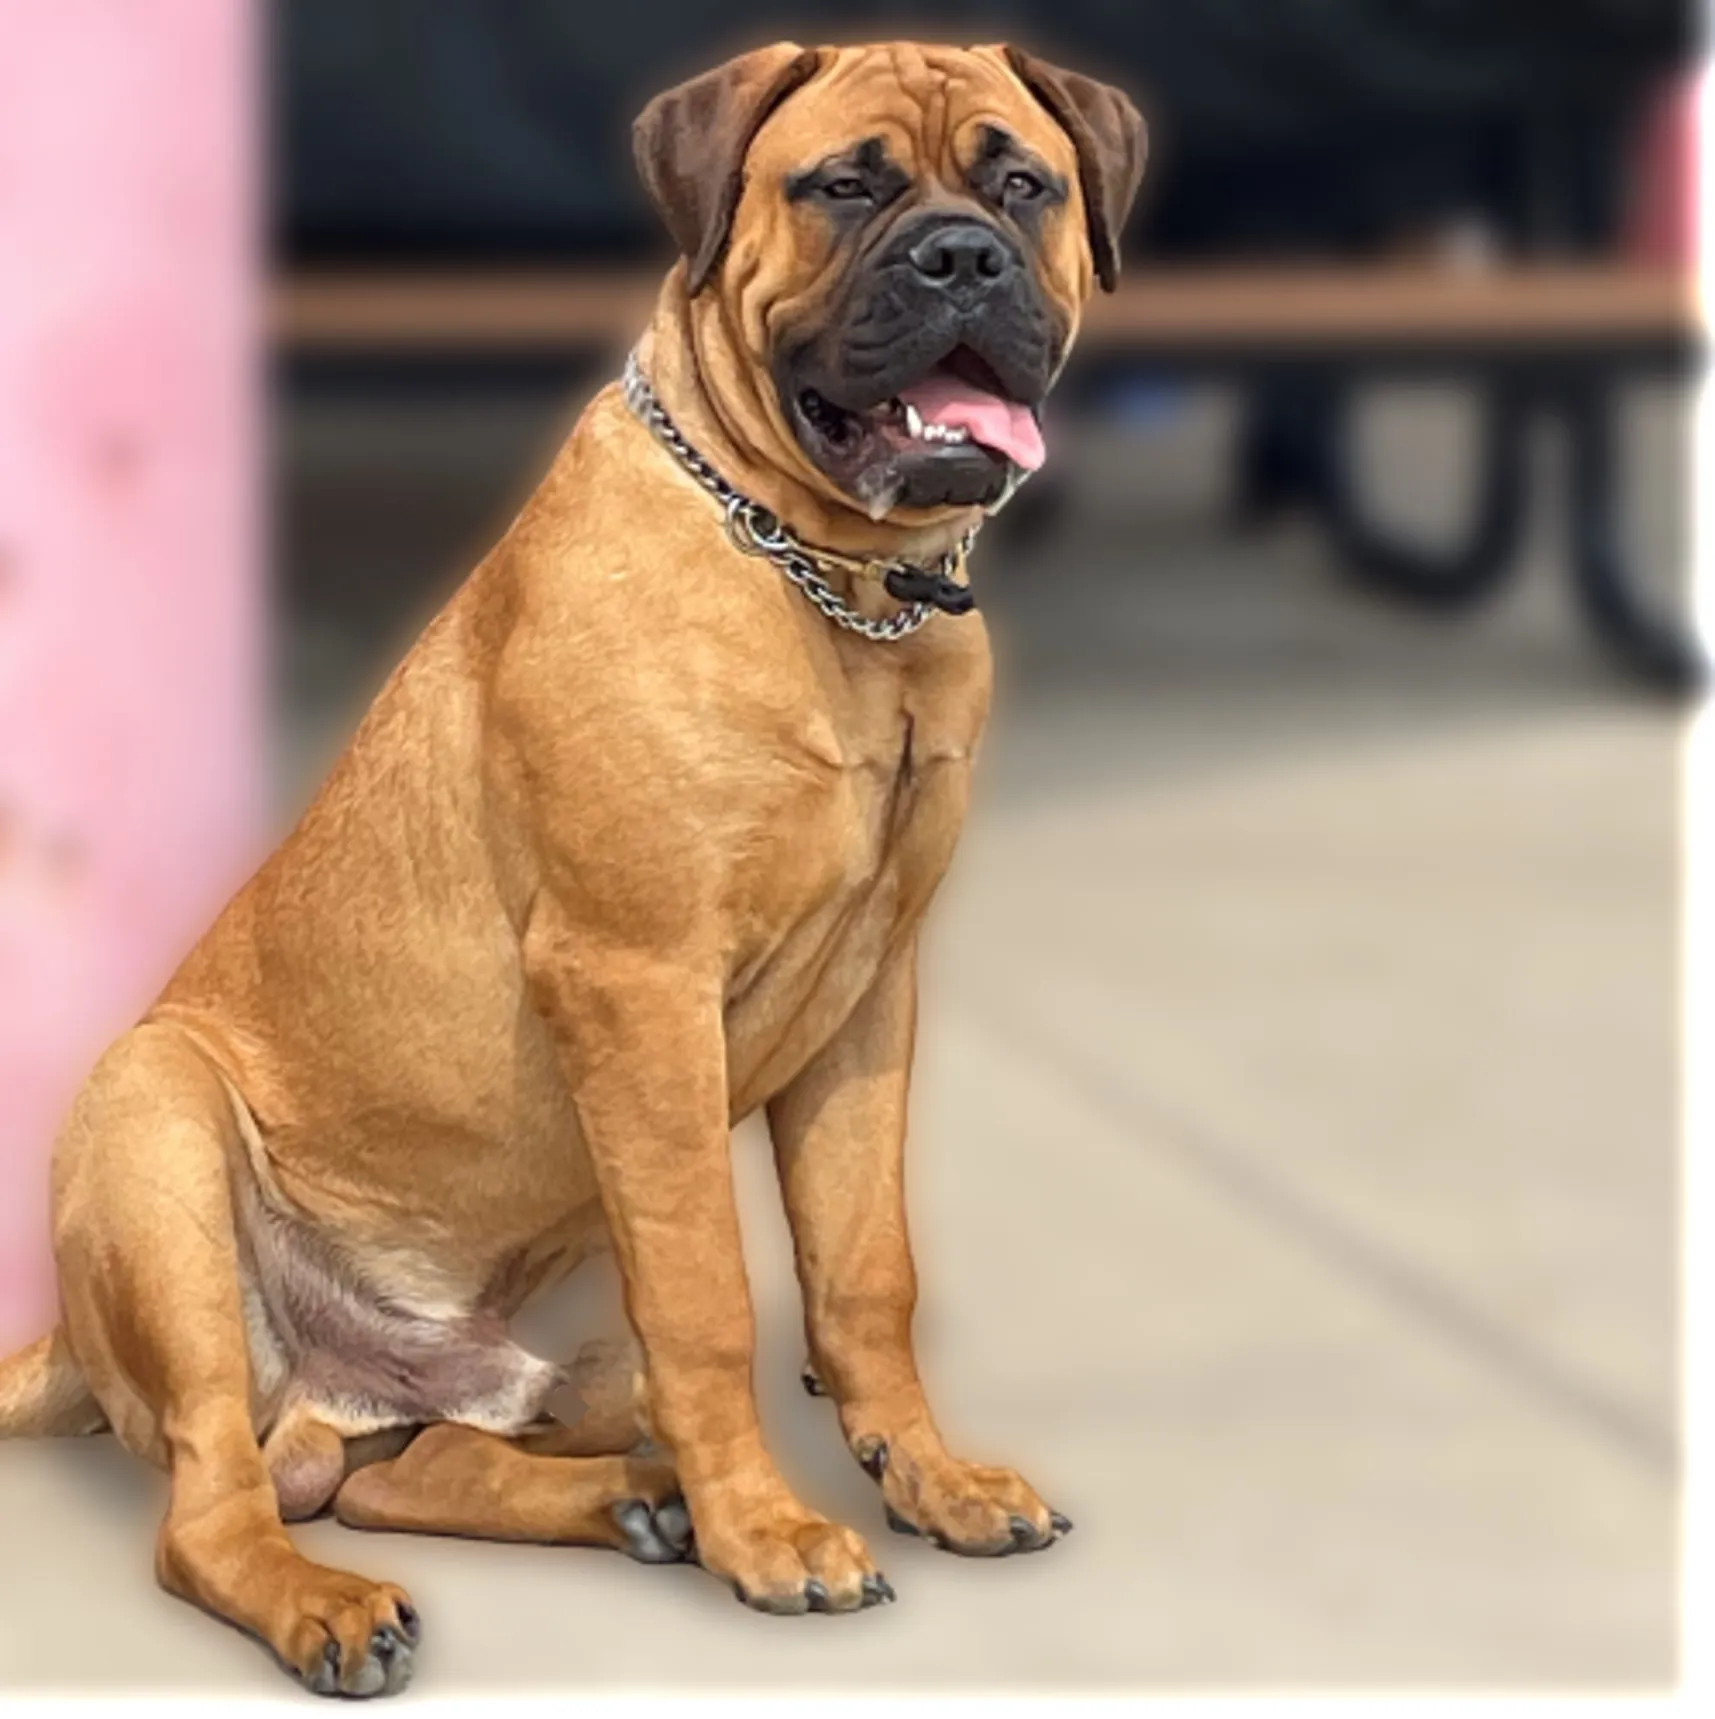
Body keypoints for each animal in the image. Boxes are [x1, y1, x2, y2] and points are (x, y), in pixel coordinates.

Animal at [3, 36, 1154, 1691]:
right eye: (842, 185)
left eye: (1022, 184)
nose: (960, 257)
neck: (832, 585)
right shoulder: (636, 982)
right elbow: (712, 1296)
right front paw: (770, 1532)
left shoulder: (870, 1001)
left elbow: (864, 1272)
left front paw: (929, 1475)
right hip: (153, 1125)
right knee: (218, 1506)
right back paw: (336, 1600)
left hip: (550, 1284)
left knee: (403, 1462)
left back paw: (631, 1497)